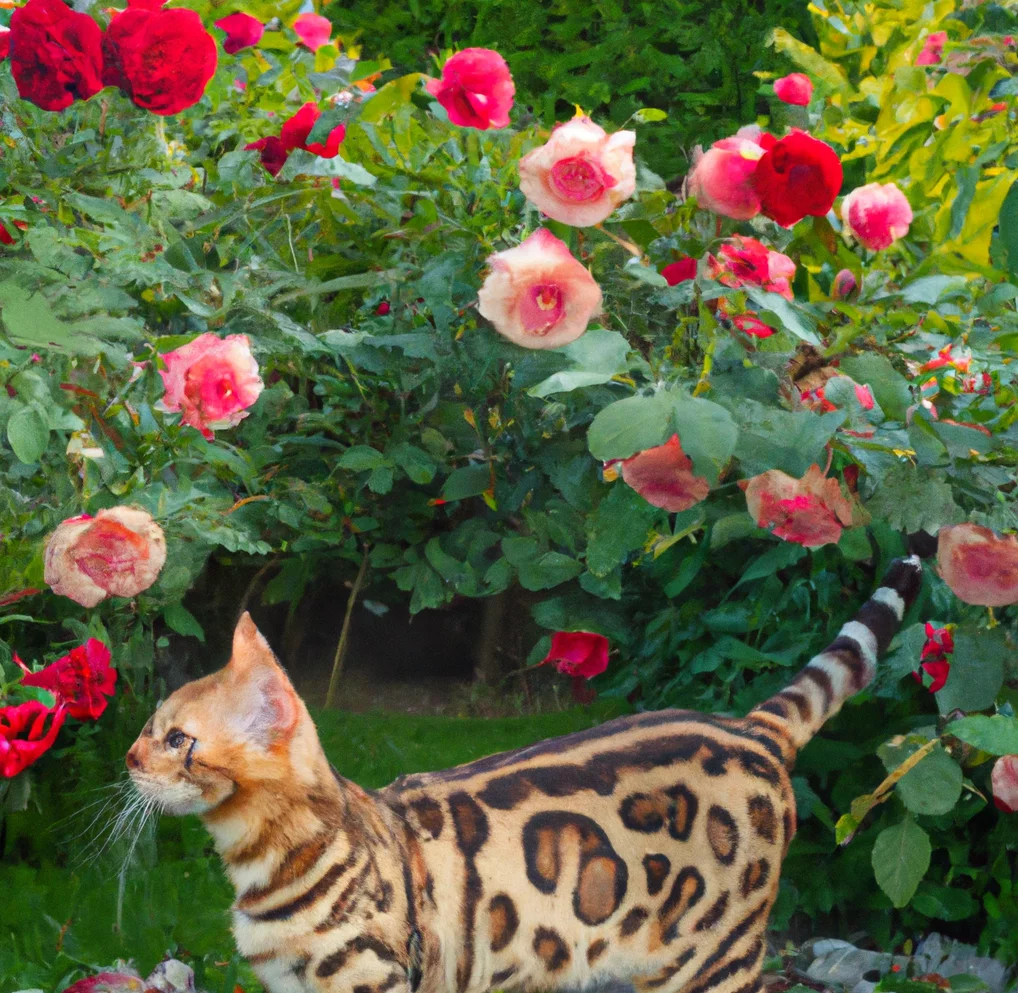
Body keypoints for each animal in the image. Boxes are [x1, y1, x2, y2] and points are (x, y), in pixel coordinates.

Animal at [125, 554, 924, 993]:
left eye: (177, 738)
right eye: (147, 729)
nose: (128, 760)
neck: (262, 856)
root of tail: (751, 727)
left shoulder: (372, 981)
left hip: (713, 961)